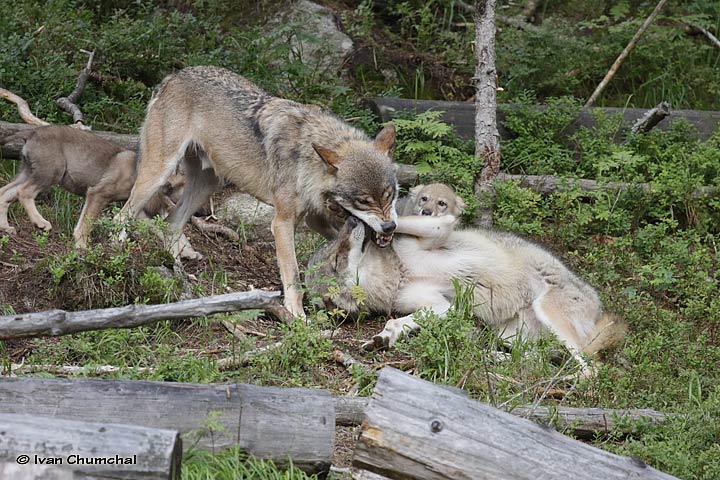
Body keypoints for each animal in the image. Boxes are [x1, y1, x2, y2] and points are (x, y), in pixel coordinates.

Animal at [0, 125, 174, 249]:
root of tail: (32, 132)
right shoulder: (98, 193)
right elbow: (86, 223)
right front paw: (82, 246)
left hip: (28, 171)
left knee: (5, 193)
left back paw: (6, 228)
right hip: (50, 172)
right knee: (24, 192)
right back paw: (41, 223)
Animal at [117, 66, 400, 316]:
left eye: (389, 195)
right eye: (363, 201)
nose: (390, 227)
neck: (307, 158)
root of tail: (173, 76)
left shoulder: (313, 217)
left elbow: (339, 241)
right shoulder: (282, 223)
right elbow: (292, 273)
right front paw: (296, 312)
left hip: (209, 184)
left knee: (171, 222)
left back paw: (177, 267)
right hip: (159, 173)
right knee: (122, 215)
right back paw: (115, 252)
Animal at [306, 212, 628, 370]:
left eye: (337, 245)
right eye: (336, 259)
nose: (351, 220)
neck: (399, 273)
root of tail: (596, 309)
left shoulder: (437, 229)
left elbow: (410, 220)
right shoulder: (443, 306)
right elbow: (398, 321)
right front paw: (383, 338)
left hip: (547, 312)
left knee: (591, 368)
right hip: (508, 333)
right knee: (538, 360)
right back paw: (496, 359)